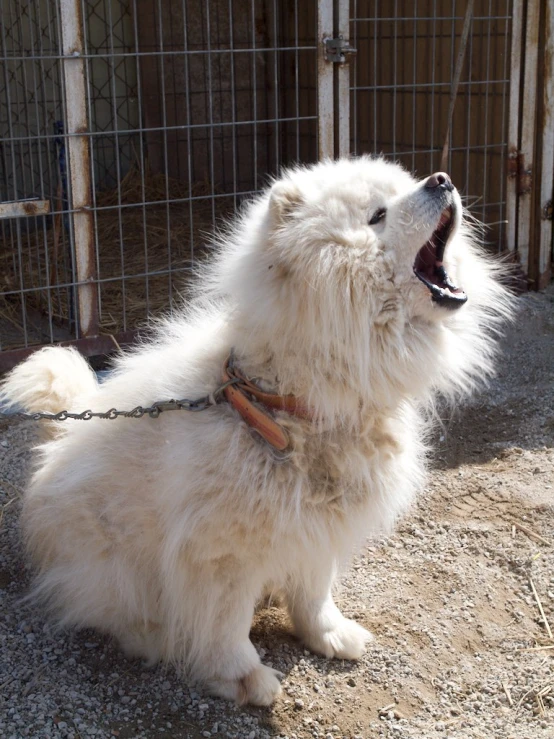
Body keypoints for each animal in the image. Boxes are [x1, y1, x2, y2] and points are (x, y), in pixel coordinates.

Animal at [1, 158, 508, 704]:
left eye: (407, 184)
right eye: (377, 215)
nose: (442, 180)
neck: (284, 404)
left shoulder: (313, 525)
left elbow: (314, 593)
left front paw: (329, 634)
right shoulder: (224, 550)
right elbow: (226, 625)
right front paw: (242, 677)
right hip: (111, 557)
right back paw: (157, 635)